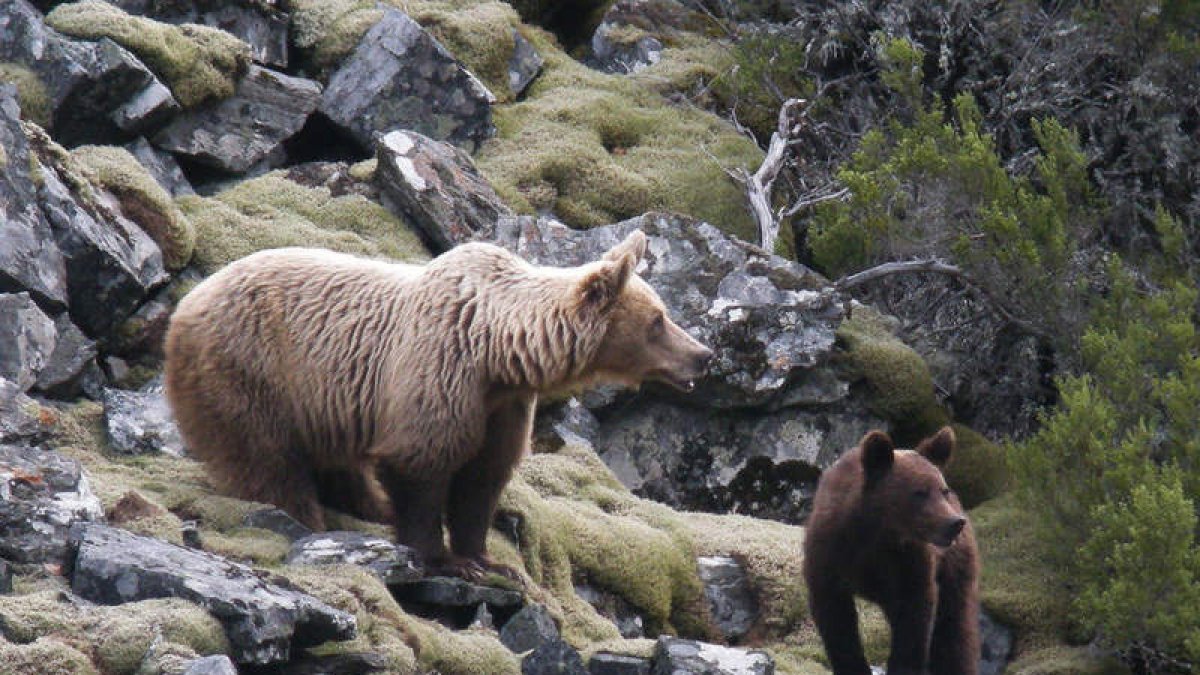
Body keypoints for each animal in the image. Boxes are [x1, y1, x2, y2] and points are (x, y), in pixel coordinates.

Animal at [163, 230, 712, 579]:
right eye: (658, 321)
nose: (703, 356)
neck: (498, 351)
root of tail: (185, 304)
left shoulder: (501, 406)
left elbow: (483, 477)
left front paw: (489, 559)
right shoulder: (441, 370)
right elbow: (422, 462)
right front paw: (444, 558)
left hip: (322, 405)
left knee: (338, 463)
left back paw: (366, 505)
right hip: (251, 371)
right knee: (267, 460)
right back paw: (307, 519)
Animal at [802, 426, 980, 675]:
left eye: (943, 490)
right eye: (920, 492)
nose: (954, 522)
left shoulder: (910, 562)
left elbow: (914, 616)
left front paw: (903, 666)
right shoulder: (830, 554)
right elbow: (836, 618)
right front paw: (852, 665)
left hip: (955, 565)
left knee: (953, 628)